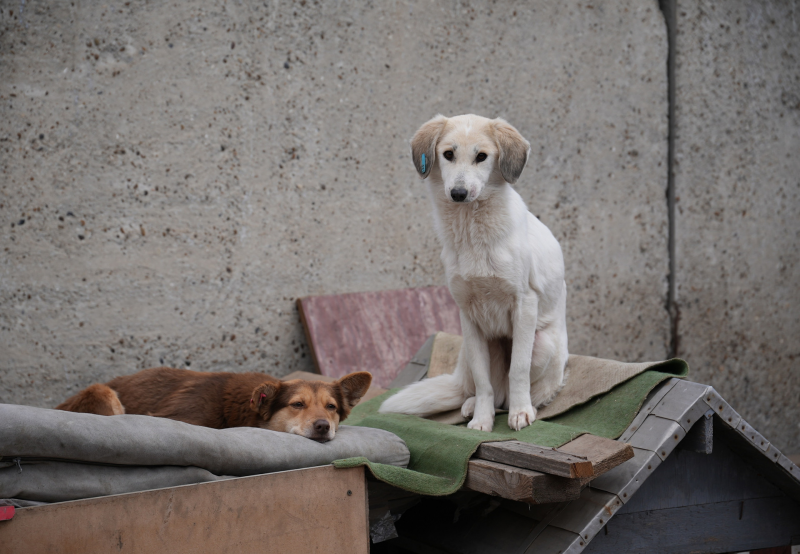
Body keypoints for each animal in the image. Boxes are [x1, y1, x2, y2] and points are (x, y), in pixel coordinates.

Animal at [380, 113, 568, 432]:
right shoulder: (469, 315)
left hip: (543, 344)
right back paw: (471, 406)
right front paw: (482, 418)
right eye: (448, 154)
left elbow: (518, 370)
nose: (458, 193)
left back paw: (526, 406)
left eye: (481, 157)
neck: (471, 231)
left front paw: (521, 412)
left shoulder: (525, 304)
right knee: (490, 391)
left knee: (525, 390)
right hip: (470, 348)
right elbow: (483, 383)